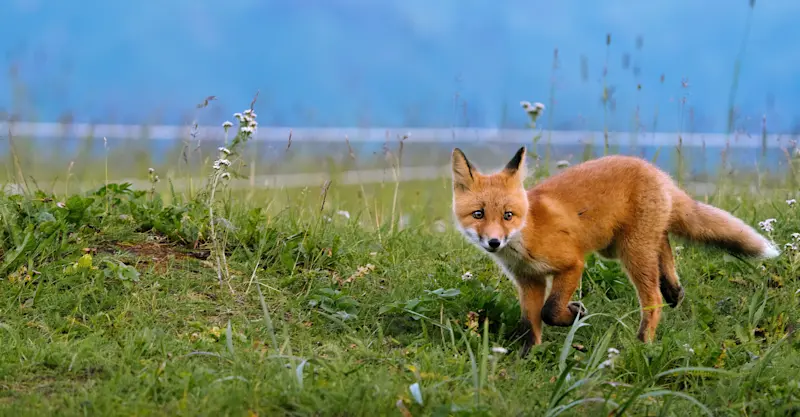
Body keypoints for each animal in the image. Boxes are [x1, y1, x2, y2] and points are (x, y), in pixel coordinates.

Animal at [451, 146, 780, 353]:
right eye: (478, 214)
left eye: (508, 215)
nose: (494, 242)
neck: (527, 235)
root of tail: (656, 171)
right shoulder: (529, 280)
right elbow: (530, 323)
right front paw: (529, 356)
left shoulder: (572, 264)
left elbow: (550, 311)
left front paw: (575, 315)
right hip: (618, 246)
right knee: (664, 241)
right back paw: (674, 289)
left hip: (632, 252)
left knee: (653, 298)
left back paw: (644, 341)